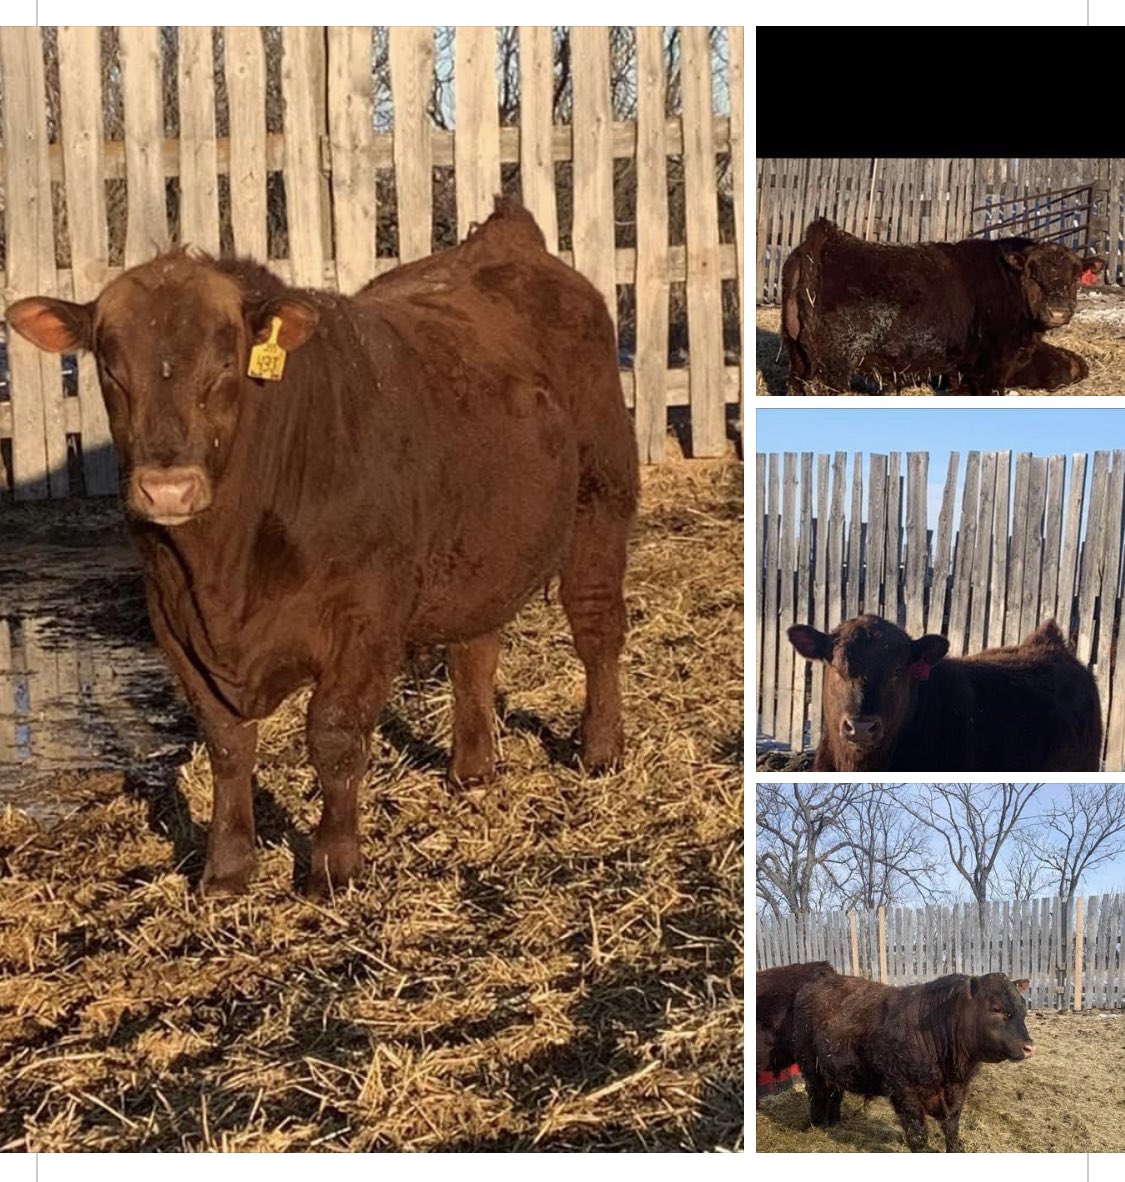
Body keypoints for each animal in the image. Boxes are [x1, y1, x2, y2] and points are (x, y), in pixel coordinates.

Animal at [5, 198, 639, 898]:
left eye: (225, 364)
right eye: (110, 369)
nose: (168, 488)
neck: (224, 575)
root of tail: (507, 241)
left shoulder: (365, 617)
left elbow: (334, 736)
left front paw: (334, 866)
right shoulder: (173, 620)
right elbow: (227, 744)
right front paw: (227, 870)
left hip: (601, 501)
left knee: (596, 627)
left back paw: (600, 751)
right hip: (480, 548)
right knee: (475, 648)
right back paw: (471, 769)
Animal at [781, 217, 1104, 395]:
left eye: (1076, 276)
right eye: (1033, 274)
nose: (1058, 311)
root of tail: (824, 240)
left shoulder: (962, 372)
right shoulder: (992, 368)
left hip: (799, 359)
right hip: (832, 366)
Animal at [793, 971, 1035, 1152]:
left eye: (1024, 1008)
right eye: (996, 1009)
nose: (1029, 1046)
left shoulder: (958, 1092)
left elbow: (952, 1129)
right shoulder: (904, 1092)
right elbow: (918, 1136)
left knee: (834, 1092)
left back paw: (834, 1121)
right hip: (810, 1066)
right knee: (816, 1094)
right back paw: (818, 1124)